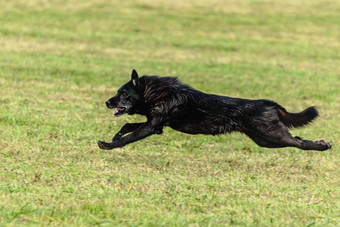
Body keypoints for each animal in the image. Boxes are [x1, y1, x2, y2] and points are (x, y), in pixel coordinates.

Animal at [97, 69, 330, 151]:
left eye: (124, 94)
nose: (107, 102)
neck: (156, 93)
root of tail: (266, 103)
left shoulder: (152, 127)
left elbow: (129, 136)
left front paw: (109, 145)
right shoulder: (155, 124)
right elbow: (127, 126)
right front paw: (115, 136)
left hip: (272, 135)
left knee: (299, 142)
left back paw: (322, 146)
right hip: (265, 140)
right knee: (297, 138)